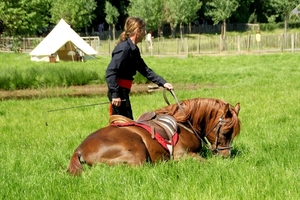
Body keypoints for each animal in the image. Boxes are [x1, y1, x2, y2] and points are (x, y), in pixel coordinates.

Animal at [67, 97, 240, 176]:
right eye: (225, 132)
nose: (226, 156)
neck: (185, 122)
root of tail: (79, 150)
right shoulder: (181, 155)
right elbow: (204, 161)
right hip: (137, 150)